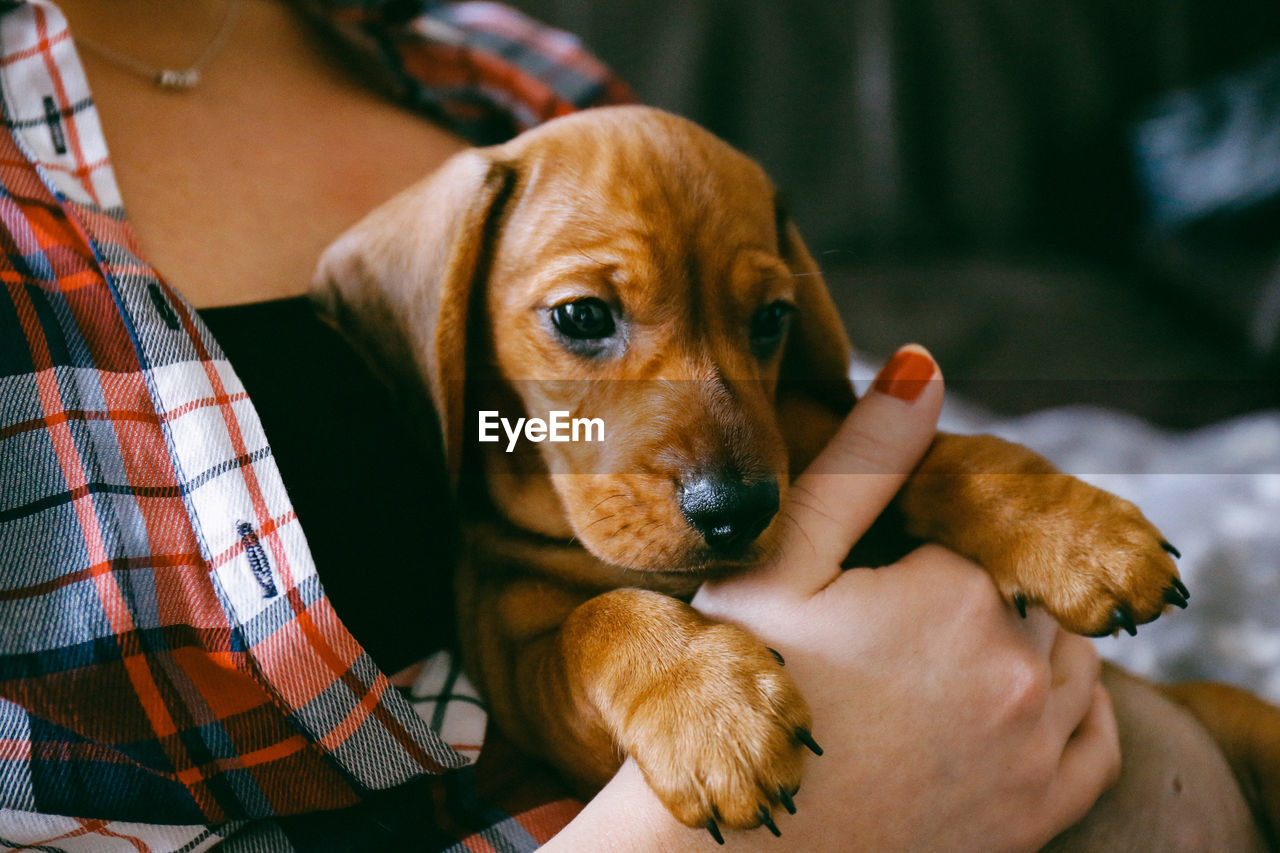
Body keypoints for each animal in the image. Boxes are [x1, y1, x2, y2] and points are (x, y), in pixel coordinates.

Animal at [312, 106, 1280, 845]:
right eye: (581, 316)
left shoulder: (825, 441)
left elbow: (946, 452)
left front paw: (1075, 532)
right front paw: (709, 706)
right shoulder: (524, 678)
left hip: (1240, 716)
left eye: (772, 318)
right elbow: (600, 617)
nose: (736, 510)